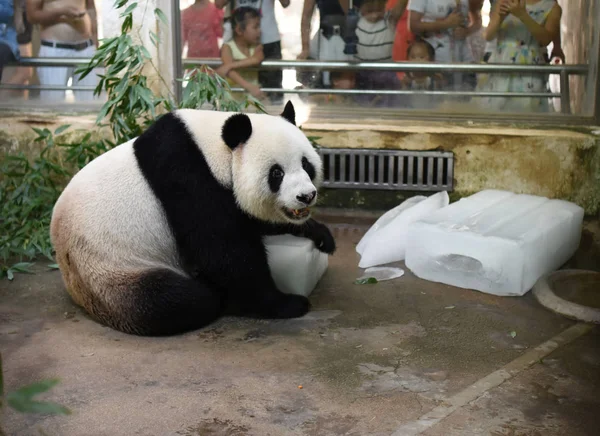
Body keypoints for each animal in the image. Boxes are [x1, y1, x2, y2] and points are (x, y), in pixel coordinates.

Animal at [49, 101, 336, 338]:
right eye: (276, 173)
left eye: (306, 164)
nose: (306, 196)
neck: (214, 149)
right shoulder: (187, 176)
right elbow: (224, 251)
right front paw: (286, 303)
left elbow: (247, 219)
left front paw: (320, 234)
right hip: (112, 270)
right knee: (174, 302)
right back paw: (213, 293)